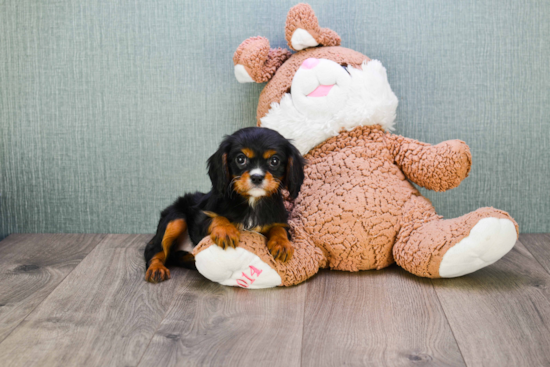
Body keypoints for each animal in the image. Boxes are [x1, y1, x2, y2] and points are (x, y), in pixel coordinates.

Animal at [143, 127, 306, 284]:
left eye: (274, 161)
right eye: (240, 159)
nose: (257, 177)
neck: (252, 202)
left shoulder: (279, 220)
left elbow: (279, 229)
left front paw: (281, 244)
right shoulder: (199, 219)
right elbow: (217, 218)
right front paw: (226, 231)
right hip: (175, 218)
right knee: (155, 250)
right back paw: (156, 269)